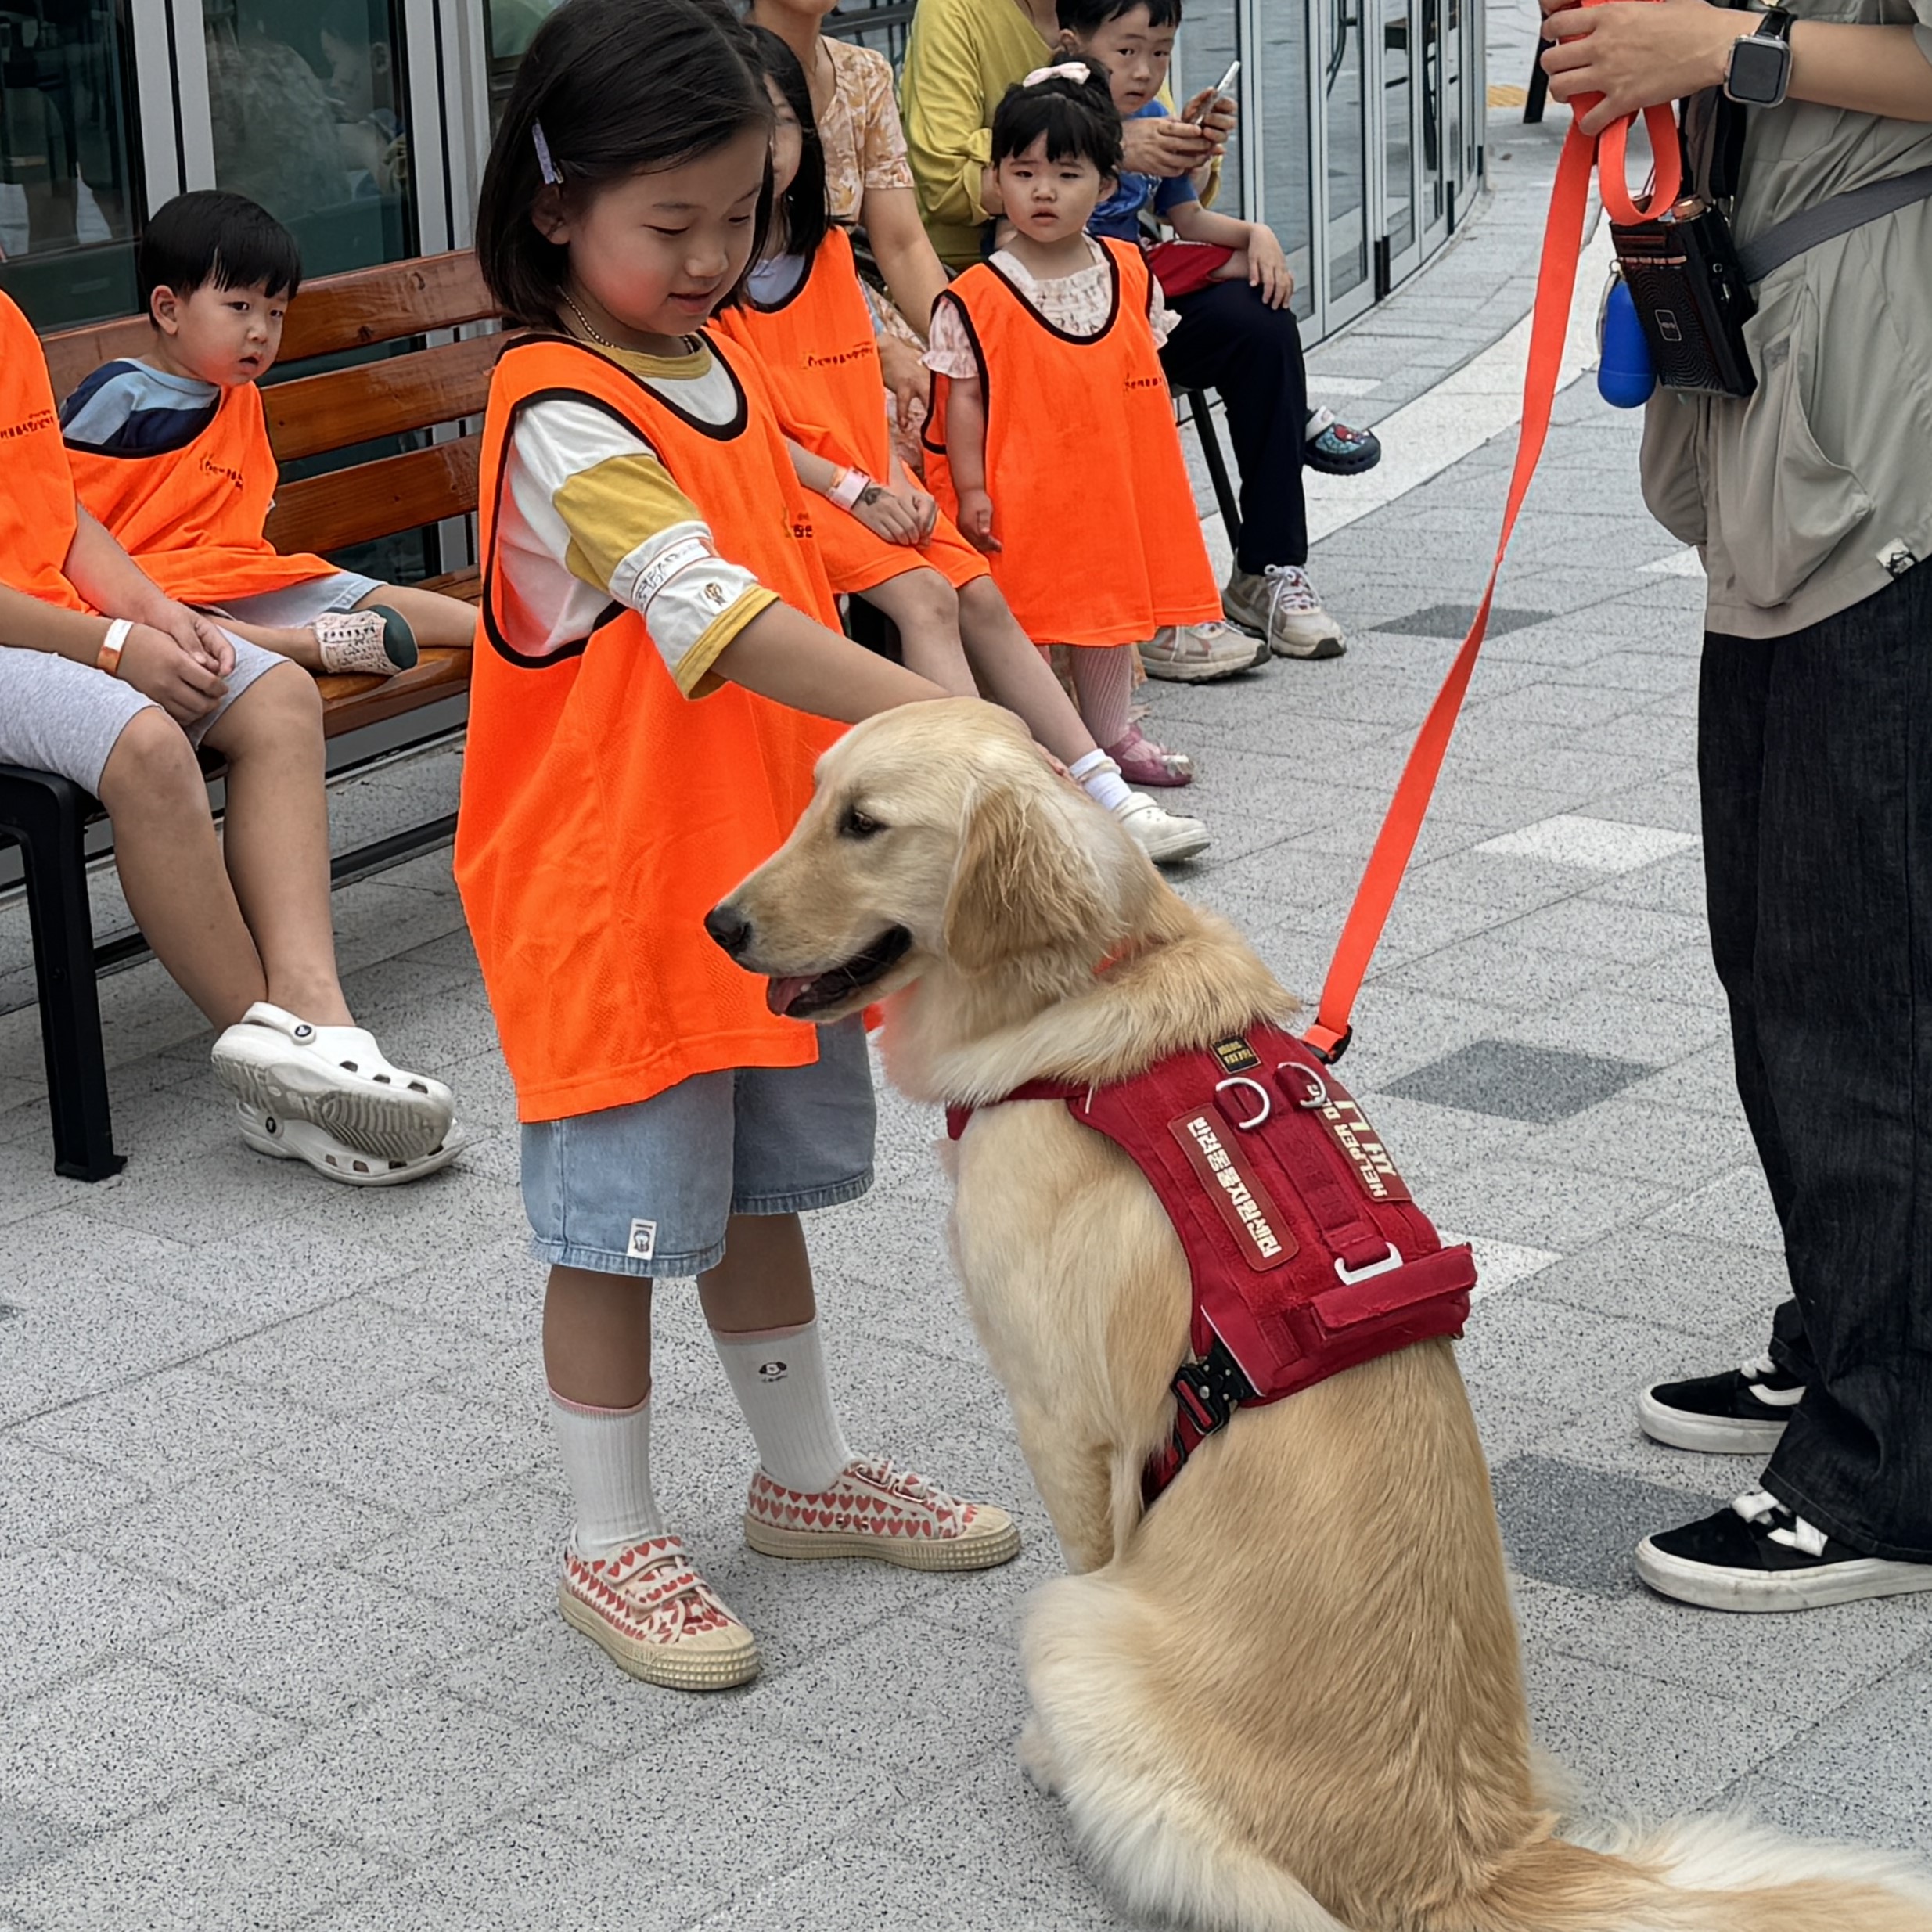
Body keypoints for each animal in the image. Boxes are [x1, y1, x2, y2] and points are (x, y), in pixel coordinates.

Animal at [711, 699, 1932, 1932]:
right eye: (811, 797)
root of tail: (1468, 1860)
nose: (719, 923)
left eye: (864, 824)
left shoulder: (1062, 1421)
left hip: (1070, 1633)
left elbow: (1093, 1535)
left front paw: (1039, 1753)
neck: (1084, 991)